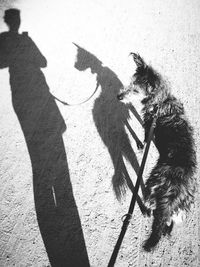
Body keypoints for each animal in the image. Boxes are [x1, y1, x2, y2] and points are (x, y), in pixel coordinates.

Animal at [117, 53, 197, 252]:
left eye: (135, 90)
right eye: (130, 83)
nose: (118, 97)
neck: (162, 101)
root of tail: (176, 194)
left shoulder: (148, 125)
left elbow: (144, 137)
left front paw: (141, 146)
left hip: (153, 183)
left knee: (149, 204)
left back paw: (145, 211)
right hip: (182, 209)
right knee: (171, 221)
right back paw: (167, 231)